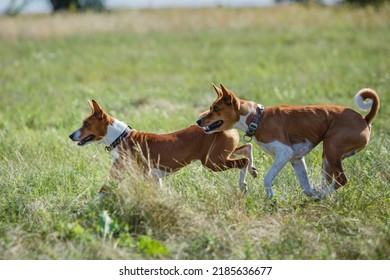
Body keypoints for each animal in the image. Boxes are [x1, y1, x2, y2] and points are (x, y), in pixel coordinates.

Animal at [70, 99, 258, 194]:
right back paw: (253, 169)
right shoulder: (154, 178)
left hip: (213, 162)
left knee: (242, 162)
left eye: (86, 124)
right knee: (247, 149)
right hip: (220, 155)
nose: (71, 135)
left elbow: (101, 191)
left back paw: (243, 184)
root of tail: (227, 126)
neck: (121, 137)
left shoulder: (122, 175)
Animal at [197, 84, 380, 200]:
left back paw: (320, 196)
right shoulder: (296, 159)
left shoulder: (285, 153)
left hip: (331, 148)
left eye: (215, 109)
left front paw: (271, 199)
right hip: (327, 156)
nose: (198, 121)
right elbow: (306, 187)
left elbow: (267, 178)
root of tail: (364, 119)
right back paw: (320, 196)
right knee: (329, 181)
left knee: (341, 180)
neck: (257, 118)